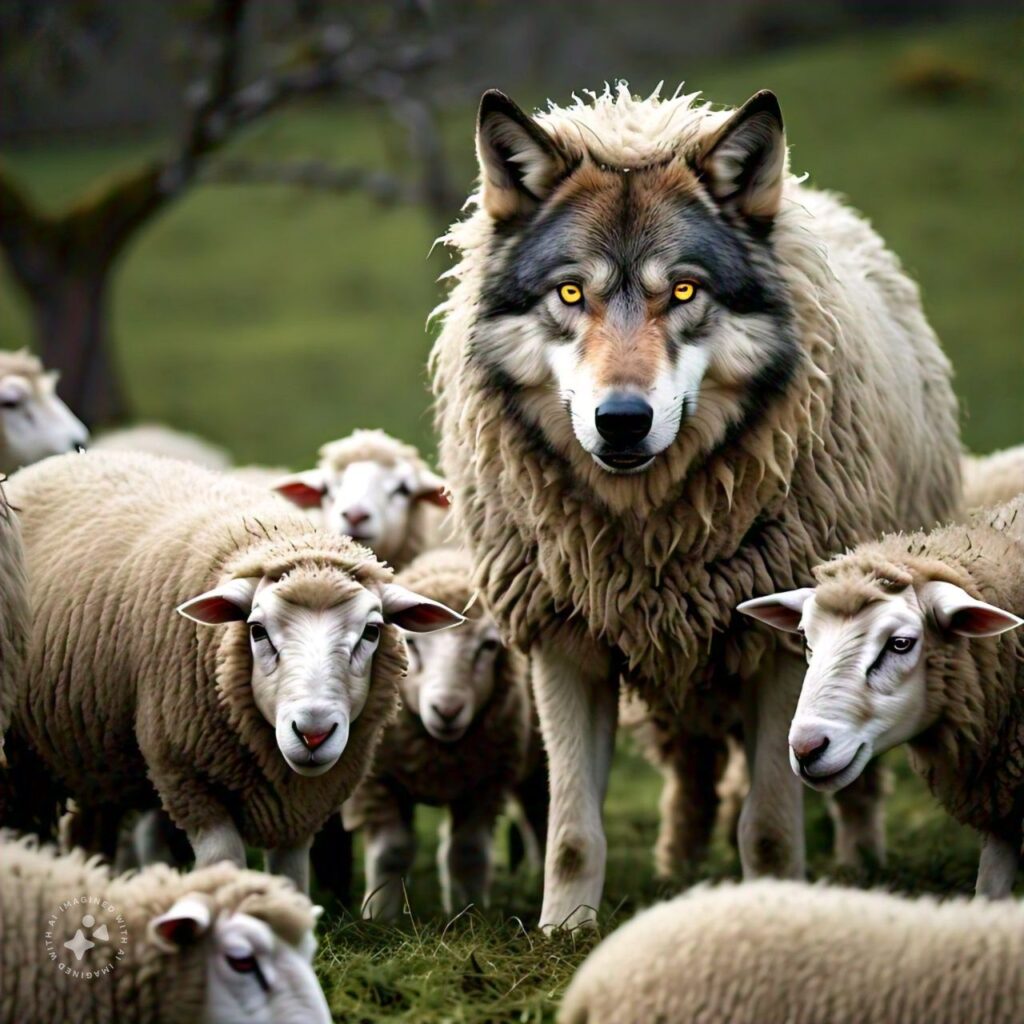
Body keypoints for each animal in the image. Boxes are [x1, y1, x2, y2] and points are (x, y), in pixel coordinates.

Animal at [0, 451, 463, 892]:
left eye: (371, 631)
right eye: (257, 630)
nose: (313, 734)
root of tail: (67, 457)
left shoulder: (303, 804)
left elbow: (291, 877)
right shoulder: (188, 776)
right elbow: (224, 862)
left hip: (94, 755)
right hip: (24, 757)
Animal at [344, 548, 533, 920]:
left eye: (489, 646)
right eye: (410, 644)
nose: (447, 710)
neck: (438, 759)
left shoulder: (485, 784)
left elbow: (467, 852)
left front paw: (469, 914)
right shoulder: (377, 780)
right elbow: (393, 851)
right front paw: (380, 916)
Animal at [429, 83, 962, 927]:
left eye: (682, 290)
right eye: (570, 292)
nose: (622, 420)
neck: (649, 532)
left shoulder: (780, 649)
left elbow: (770, 824)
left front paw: (774, 906)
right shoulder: (564, 643)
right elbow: (572, 834)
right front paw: (565, 930)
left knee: (850, 778)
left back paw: (859, 858)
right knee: (692, 772)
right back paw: (677, 862)